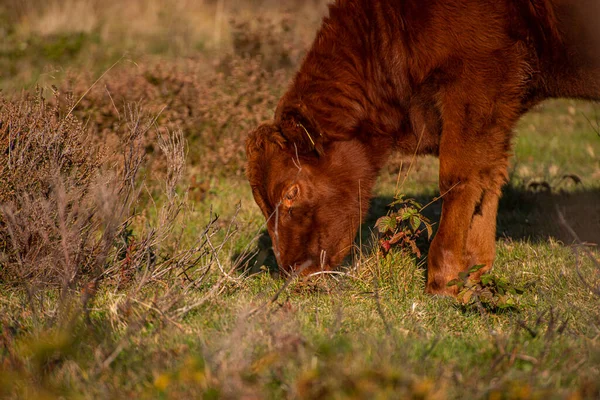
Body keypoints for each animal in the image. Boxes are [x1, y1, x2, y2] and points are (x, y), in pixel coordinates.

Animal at [244, 0, 600, 294]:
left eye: (292, 193)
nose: (293, 272)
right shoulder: (500, 104)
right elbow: (489, 176)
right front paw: (474, 269)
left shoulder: (476, 81)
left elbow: (458, 177)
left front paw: (443, 278)